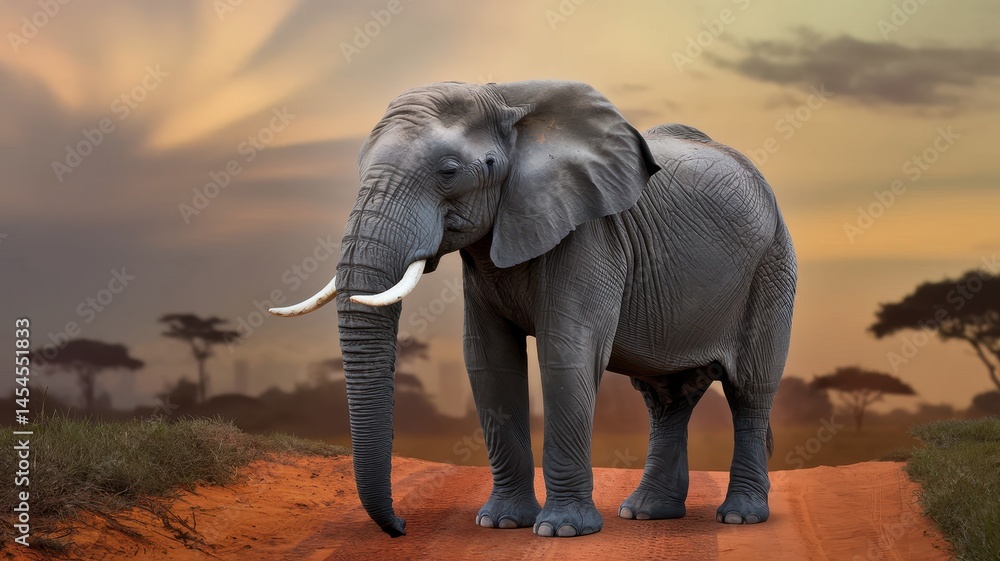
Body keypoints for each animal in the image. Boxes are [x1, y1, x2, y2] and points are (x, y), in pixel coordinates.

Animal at [269, 80, 797, 538]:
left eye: (449, 171)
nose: (400, 527)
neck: (507, 102)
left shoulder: (590, 234)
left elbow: (566, 353)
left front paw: (560, 531)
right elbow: (488, 362)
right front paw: (501, 524)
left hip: (772, 264)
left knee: (751, 390)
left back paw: (740, 516)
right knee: (666, 398)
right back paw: (646, 513)